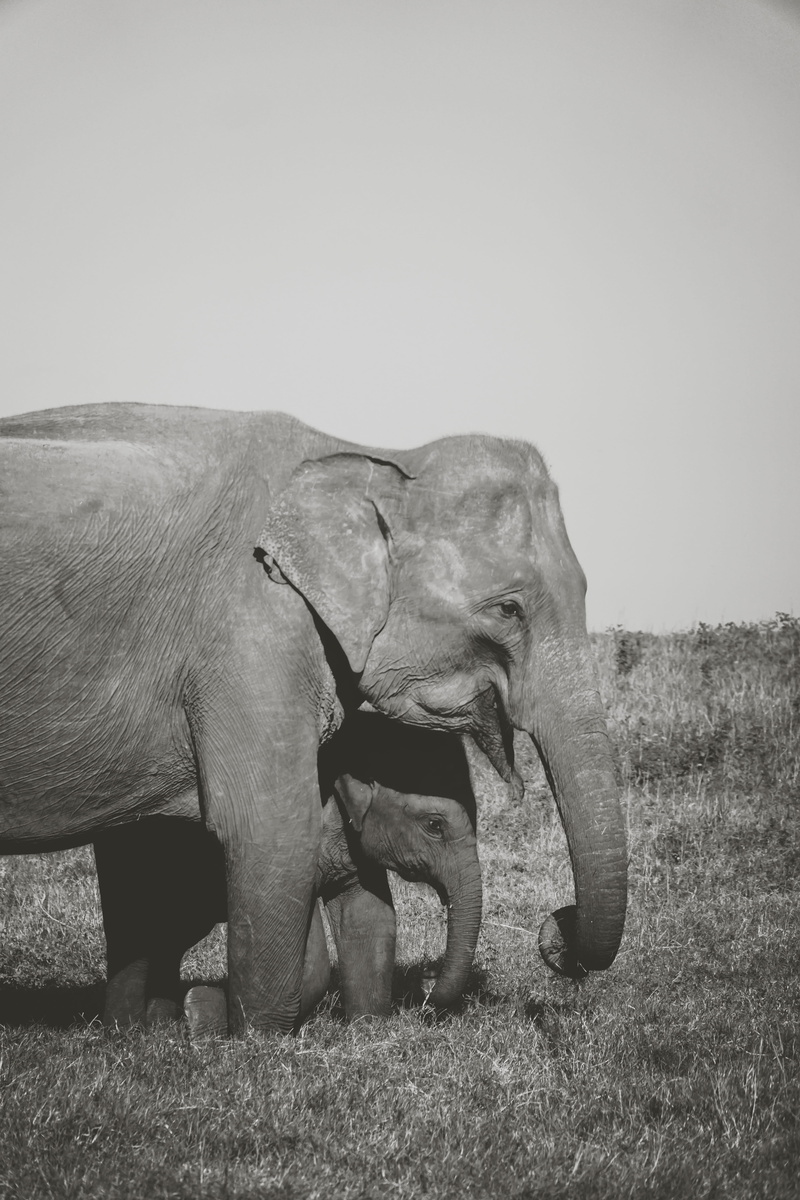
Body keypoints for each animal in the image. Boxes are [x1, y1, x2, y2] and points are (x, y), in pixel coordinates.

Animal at [95, 713, 481, 1031]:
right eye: (434, 825)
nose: (426, 979)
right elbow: (310, 959)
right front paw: (201, 1013)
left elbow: (368, 917)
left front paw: (368, 1029)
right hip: (130, 853)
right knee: (136, 931)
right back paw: (127, 1031)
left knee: (169, 934)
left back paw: (157, 1025)